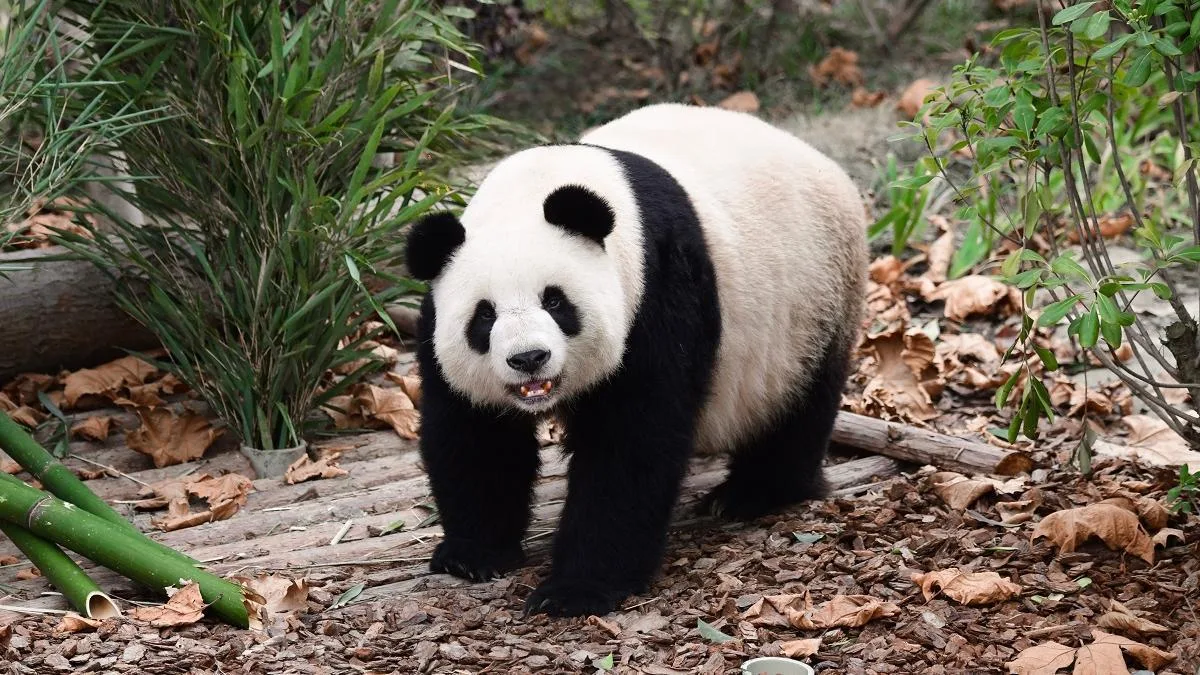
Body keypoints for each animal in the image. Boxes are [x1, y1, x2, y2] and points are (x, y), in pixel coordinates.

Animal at [404, 102, 868, 618]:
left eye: (555, 301)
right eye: (484, 315)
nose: (529, 358)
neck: (535, 189)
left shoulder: (658, 287)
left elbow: (632, 442)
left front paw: (574, 589)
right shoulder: (437, 324)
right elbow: (476, 434)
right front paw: (473, 554)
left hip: (813, 302)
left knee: (798, 406)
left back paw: (752, 493)